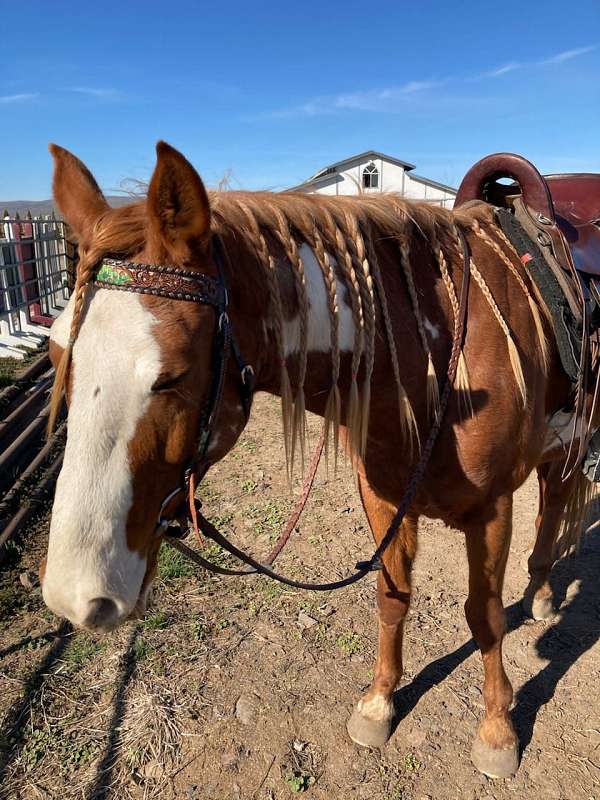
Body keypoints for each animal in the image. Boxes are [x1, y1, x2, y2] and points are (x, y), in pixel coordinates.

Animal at [38, 141, 592, 780]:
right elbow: (392, 598)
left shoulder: (492, 508)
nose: (76, 596)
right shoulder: (385, 499)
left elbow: (485, 616)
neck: (431, 361)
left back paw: (543, 593)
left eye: (171, 375)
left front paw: (498, 731)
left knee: (555, 502)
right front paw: (379, 703)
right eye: (55, 353)